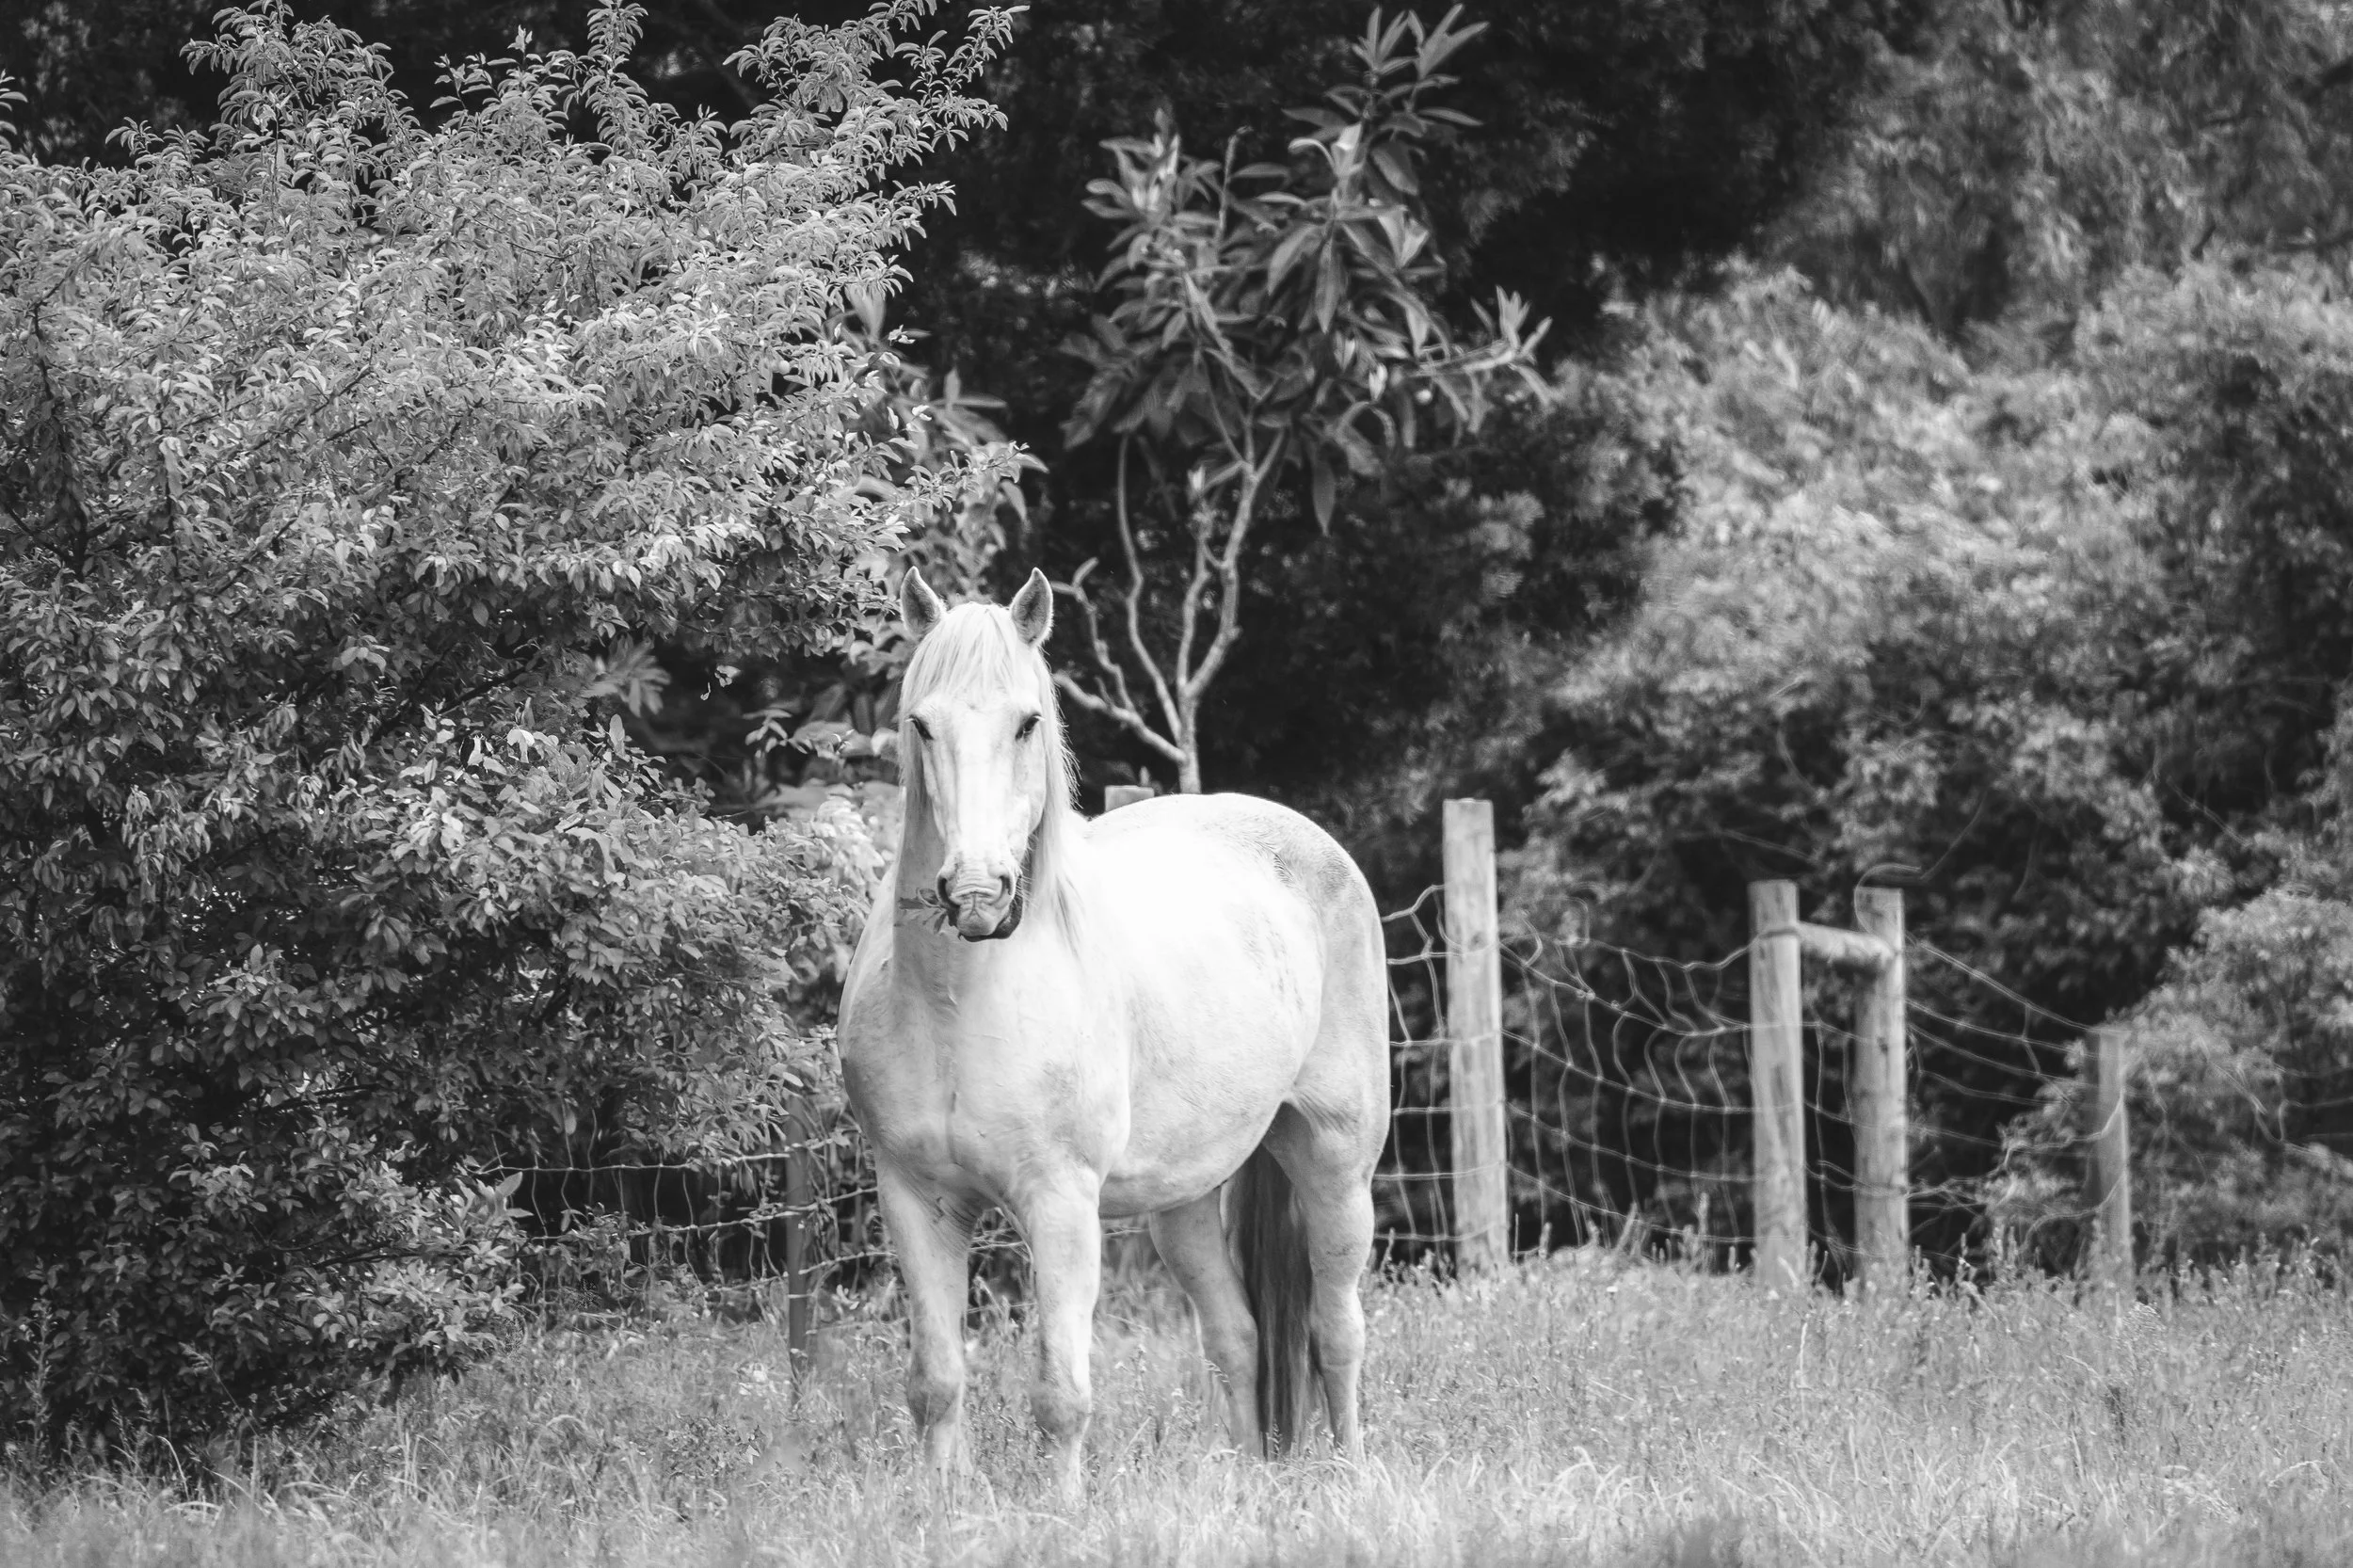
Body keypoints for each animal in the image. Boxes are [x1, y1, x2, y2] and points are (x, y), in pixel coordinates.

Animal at [837, 566, 1390, 1498]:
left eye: (1027, 721)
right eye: (921, 723)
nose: (978, 893)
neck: (960, 1003)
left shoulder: (1060, 1204)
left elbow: (1061, 1394)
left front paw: (1063, 1511)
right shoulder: (915, 1199)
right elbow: (936, 1382)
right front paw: (943, 1507)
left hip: (1336, 1163)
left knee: (1336, 1332)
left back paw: (1351, 1477)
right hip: (1185, 1199)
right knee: (1237, 1336)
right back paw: (1245, 1478)